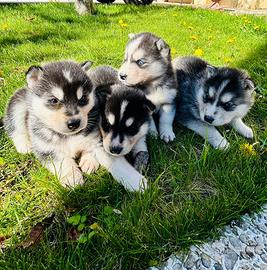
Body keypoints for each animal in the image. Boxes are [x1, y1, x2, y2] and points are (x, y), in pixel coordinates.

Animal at [3, 61, 148, 192]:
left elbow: (115, 162)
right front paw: (71, 177)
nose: (74, 123)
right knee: (13, 125)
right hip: (19, 102)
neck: (70, 136)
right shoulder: (46, 148)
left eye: (82, 99)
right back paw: (23, 144)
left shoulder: (99, 141)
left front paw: (136, 181)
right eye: (54, 100)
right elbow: (61, 161)